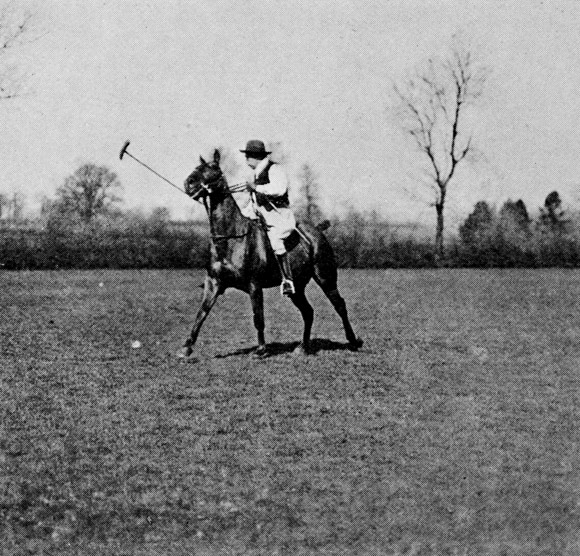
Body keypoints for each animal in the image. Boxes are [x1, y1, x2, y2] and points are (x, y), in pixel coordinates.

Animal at [177, 148, 363, 357]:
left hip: (325, 277)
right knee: (308, 311)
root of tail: (317, 230)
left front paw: (261, 349)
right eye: (197, 167)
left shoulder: (254, 285)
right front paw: (186, 347)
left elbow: (258, 317)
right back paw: (302, 347)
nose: (189, 183)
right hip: (297, 287)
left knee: (339, 305)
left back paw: (353, 341)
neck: (231, 238)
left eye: (214, 168)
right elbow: (202, 313)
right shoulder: (214, 283)